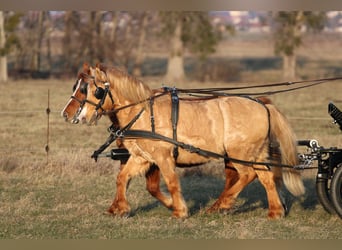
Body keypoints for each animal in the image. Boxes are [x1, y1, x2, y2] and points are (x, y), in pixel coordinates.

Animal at [73, 65, 304, 219]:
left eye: (94, 90)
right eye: (77, 87)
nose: (78, 116)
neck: (144, 112)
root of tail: (263, 105)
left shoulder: (163, 157)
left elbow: (172, 181)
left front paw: (179, 211)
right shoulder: (142, 157)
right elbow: (122, 178)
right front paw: (119, 208)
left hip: (240, 153)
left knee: (248, 175)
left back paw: (222, 204)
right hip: (255, 153)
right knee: (266, 177)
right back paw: (274, 211)